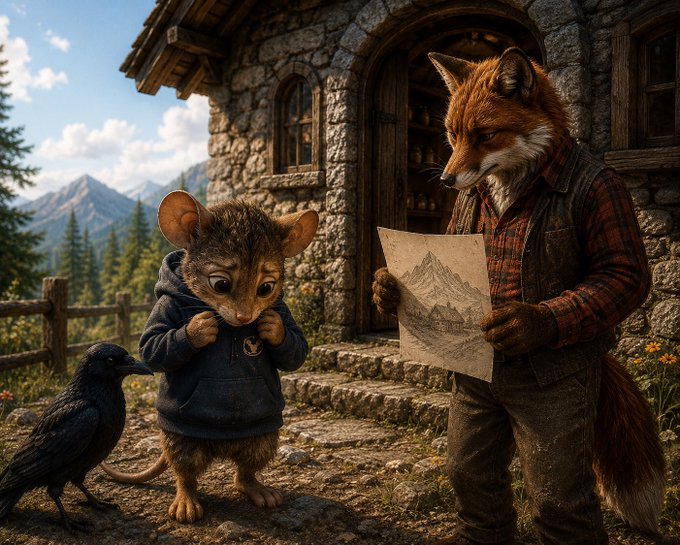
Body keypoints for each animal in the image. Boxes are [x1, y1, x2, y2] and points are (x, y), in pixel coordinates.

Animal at [375, 48, 665, 535]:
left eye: (485, 135)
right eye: (452, 135)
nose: (446, 182)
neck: (513, 187)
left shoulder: (607, 200)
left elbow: (621, 271)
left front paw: (525, 324)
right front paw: (386, 291)